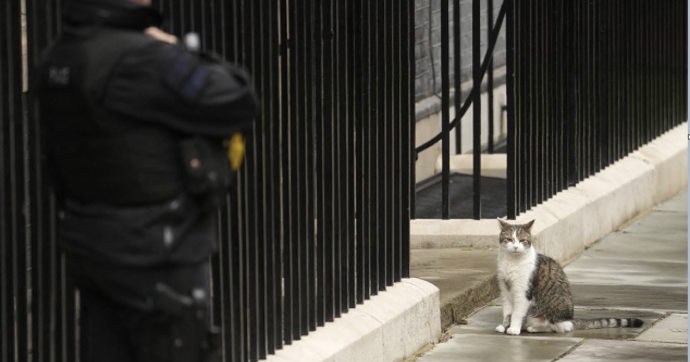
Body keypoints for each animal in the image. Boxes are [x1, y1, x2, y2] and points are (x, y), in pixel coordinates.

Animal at [494, 218, 640, 334]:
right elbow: (507, 312)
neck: (511, 262)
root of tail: (570, 319)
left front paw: (513, 328)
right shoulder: (505, 291)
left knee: (558, 327)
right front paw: (504, 326)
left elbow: (517, 313)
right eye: (509, 240)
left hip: (549, 313)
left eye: (522, 240)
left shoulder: (523, 293)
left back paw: (533, 328)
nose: (515, 247)